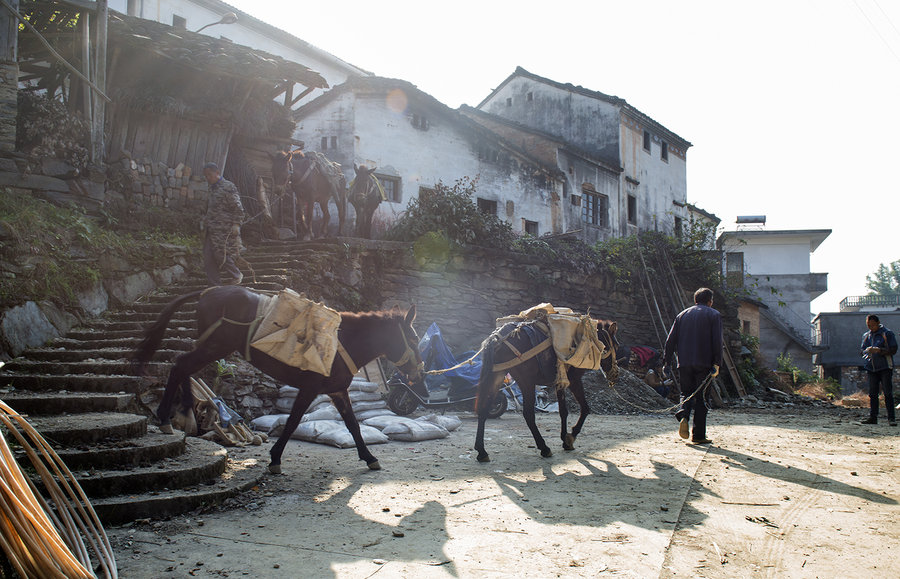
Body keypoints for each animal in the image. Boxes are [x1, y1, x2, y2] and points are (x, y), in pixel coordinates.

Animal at [472, 318, 620, 462]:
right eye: (616, 346)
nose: (615, 374)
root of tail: (497, 338)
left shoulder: (560, 381)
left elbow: (563, 411)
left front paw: (565, 438)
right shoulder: (574, 380)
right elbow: (585, 409)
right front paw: (571, 436)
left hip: (497, 375)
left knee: (484, 408)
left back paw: (481, 451)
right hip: (526, 381)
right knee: (528, 414)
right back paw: (544, 447)